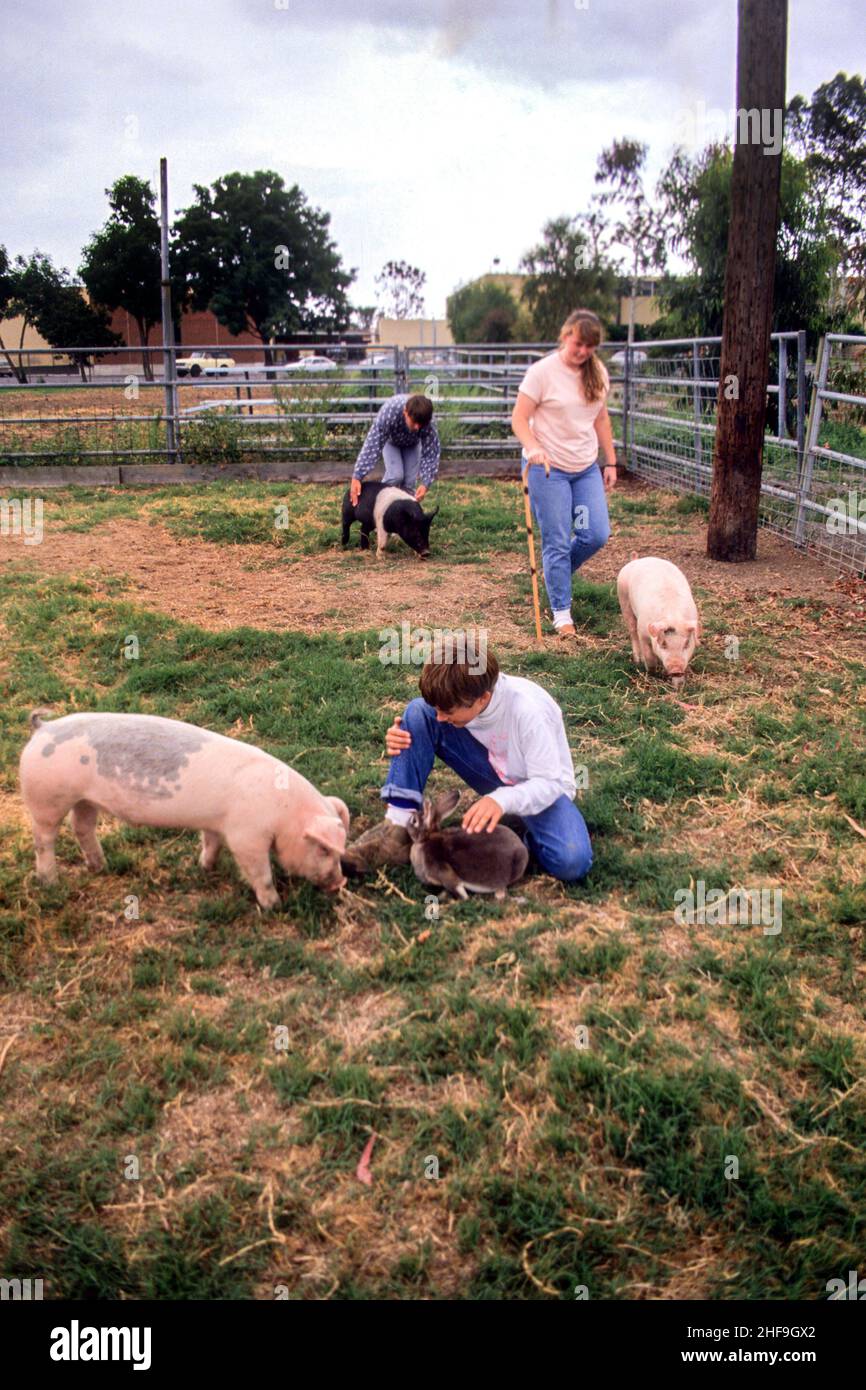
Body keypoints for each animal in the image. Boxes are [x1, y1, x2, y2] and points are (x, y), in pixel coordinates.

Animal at [17, 711, 348, 906]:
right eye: (323, 849)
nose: (340, 882)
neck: (283, 813)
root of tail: (43, 728)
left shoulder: (216, 824)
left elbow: (211, 843)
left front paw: (205, 868)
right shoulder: (246, 836)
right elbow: (259, 872)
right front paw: (274, 906)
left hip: (85, 800)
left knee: (82, 827)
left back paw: (101, 866)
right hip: (46, 798)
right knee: (43, 839)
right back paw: (50, 882)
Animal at [619, 550, 700, 686]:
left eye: (686, 644)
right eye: (663, 644)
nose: (676, 669)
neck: (673, 616)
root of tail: (636, 560)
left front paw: (678, 685)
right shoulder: (643, 632)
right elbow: (649, 657)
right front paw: (651, 673)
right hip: (624, 601)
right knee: (632, 632)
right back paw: (637, 660)